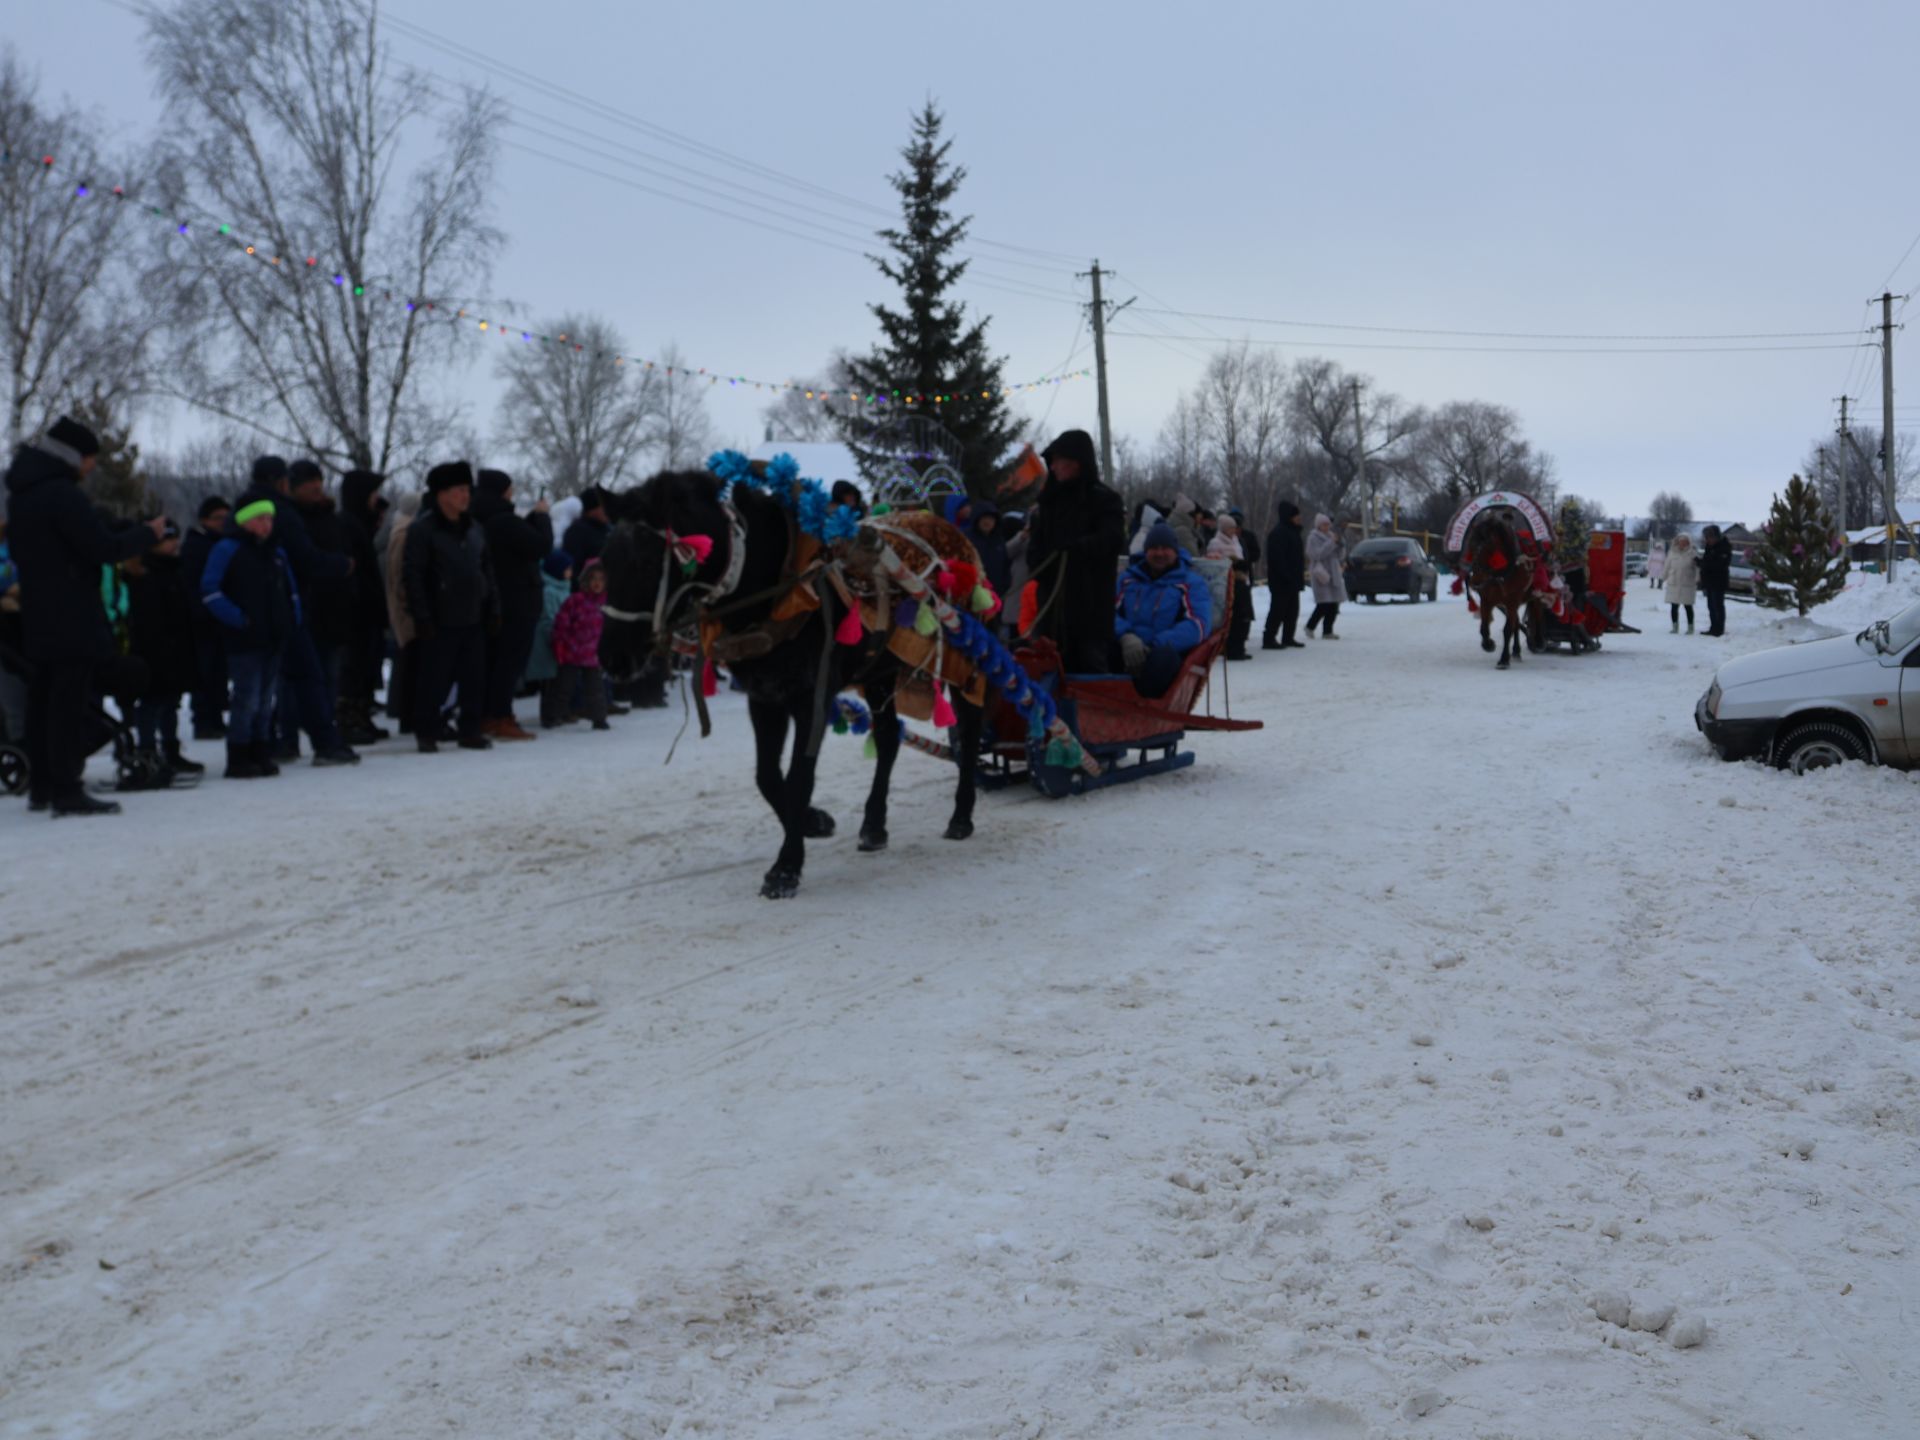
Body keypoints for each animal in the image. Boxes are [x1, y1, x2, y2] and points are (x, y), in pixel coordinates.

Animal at [595, 474, 990, 902]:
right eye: (605, 562)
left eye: (647, 562)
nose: (611, 658)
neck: (774, 584)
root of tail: (949, 528)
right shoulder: (764, 696)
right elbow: (768, 777)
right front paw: (812, 822)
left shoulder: (809, 697)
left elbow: (800, 777)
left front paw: (785, 867)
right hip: (879, 670)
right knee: (887, 740)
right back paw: (873, 824)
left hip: (963, 659)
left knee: (969, 731)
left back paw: (962, 814)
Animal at [1459, 518, 1536, 672]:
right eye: (1471, 544)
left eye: (1488, 545)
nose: (1475, 581)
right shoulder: (1486, 600)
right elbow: (1484, 627)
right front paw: (1488, 644)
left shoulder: (1512, 601)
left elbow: (1507, 630)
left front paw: (1503, 659)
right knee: (1516, 623)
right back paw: (1516, 650)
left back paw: (1538, 642)